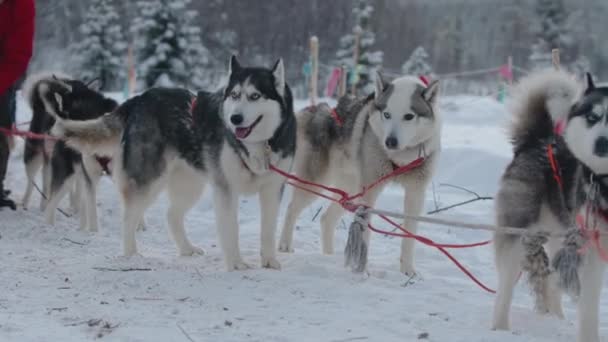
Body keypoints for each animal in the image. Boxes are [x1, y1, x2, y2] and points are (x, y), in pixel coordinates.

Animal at [22, 73, 119, 231]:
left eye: (63, 111)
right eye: (58, 109)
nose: (51, 133)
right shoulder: (87, 173)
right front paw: (91, 231)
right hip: (40, 160)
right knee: (35, 184)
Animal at [50, 56, 294, 270]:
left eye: (255, 96)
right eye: (234, 95)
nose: (234, 119)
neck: (256, 145)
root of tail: (140, 99)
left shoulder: (273, 189)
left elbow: (268, 230)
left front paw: (269, 261)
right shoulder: (226, 188)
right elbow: (231, 228)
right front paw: (235, 263)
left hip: (190, 184)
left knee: (171, 215)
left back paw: (186, 249)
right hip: (148, 180)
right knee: (129, 217)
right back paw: (131, 255)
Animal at [278, 72, 440, 276]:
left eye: (409, 116)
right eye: (387, 114)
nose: (390, 142)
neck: (400, 159)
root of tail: (315, 110)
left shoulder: (415, 192)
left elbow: (409, 234)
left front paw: (408, 270)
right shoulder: (370, 192)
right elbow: (365, 231)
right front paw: (363, 270)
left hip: (350, 189)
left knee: (326, 219)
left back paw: (328, 256)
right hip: (315, 183)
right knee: (292, 209)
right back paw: (284, 245)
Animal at [490, 69, 608, 342]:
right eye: (593, 117)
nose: (602, 143)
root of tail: (538, 138)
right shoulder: (592, 251)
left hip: (561, 237)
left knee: (553, 279)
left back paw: (556, 319)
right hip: (518, 234)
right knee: (506, 286)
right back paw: (500, 327)